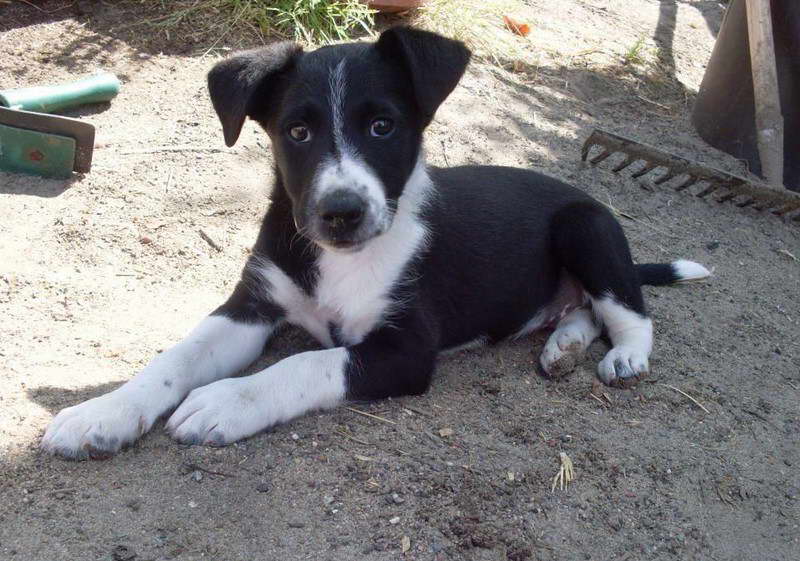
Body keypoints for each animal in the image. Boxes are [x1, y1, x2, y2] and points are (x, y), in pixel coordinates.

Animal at [42, 27, 712, 460]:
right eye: (297, 131)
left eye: (383, 126)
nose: (341, 212)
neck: (338, 260)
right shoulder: (252, 305)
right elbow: (174, 358)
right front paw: (102, 413)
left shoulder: (406, 349)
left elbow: (303, 363)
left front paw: (227, 400)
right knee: (583, 311)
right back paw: (564, 344)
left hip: (587, 228)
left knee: (628, 311)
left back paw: (624, 359)